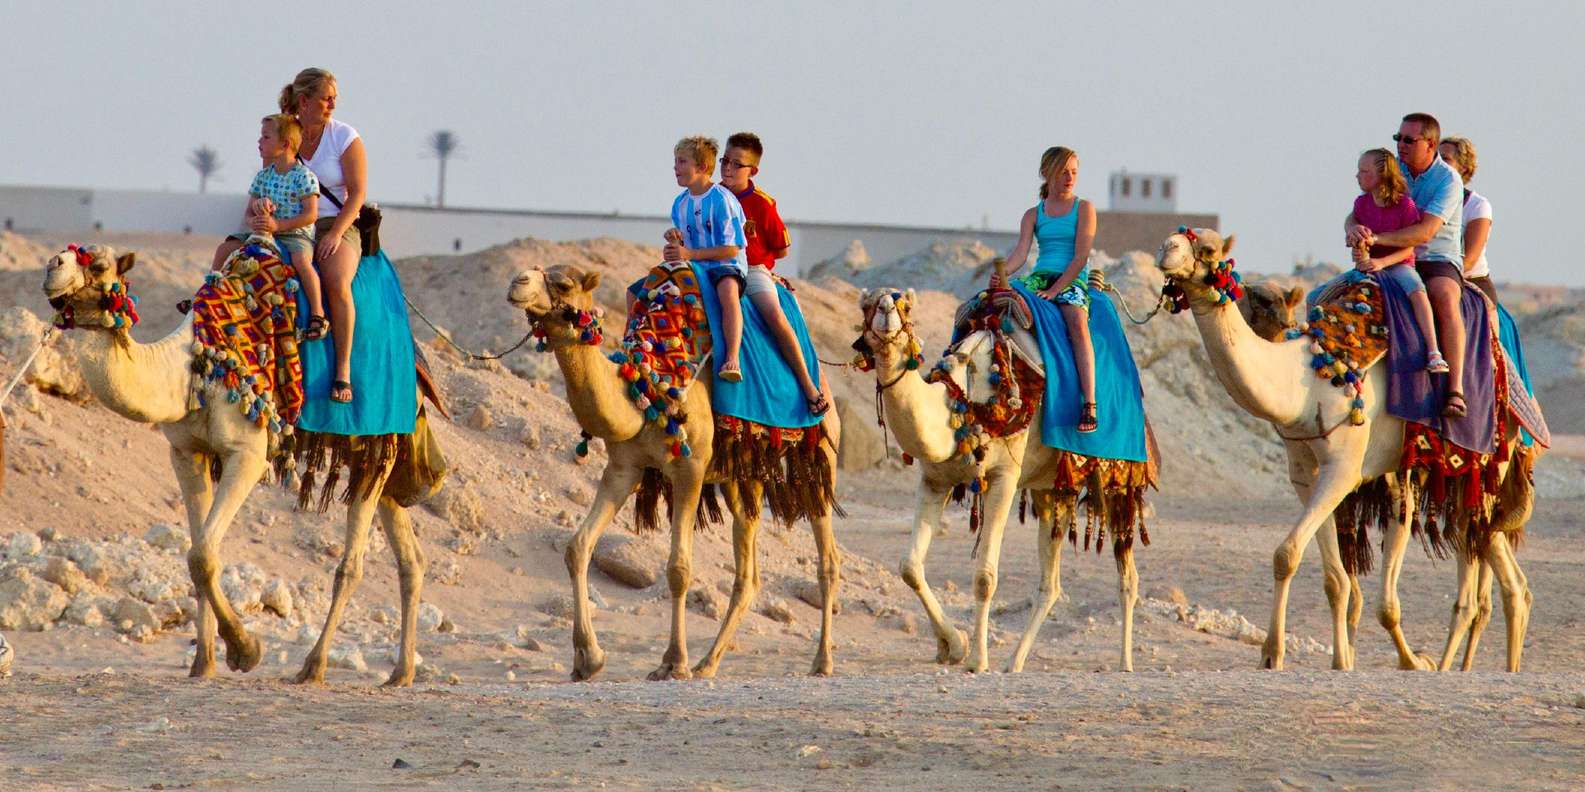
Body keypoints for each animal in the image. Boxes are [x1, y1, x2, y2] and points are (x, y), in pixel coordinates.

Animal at [42, 243, 432, 687]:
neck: (187, 368)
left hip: (379, 434)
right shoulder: (186, 452)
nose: (53, 266)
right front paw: (204, 662)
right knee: (409, 553)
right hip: (375, 453)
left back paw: (313, 667)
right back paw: (401, 672)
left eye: (99, 264)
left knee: (352, 565)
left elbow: (202, 556)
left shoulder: (247, 452)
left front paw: (246, 650)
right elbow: (198, 556)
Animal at [507, 264, 841, 681]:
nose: (516, 282)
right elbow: (577, 548)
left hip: (819, 454)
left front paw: (672, 662)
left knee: (827, 560)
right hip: (741, 477)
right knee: (748, 572)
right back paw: (708, 663)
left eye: (564, 284)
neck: (646, 386)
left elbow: (679, 568)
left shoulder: (690, 468)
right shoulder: (624, 467)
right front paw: (588, 658)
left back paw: (821, 661)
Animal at [855, 286, 1151, 672]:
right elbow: (910, 568)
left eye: (904, 303)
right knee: (1051, 582)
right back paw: (1016, 661)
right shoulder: (935, 479)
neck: (961, 399)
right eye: (866, 305)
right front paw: (954, 645)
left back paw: (1125, 662)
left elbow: (984, 576)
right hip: (1051, 490)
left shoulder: (1004, 476)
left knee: (1127, 574)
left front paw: (977, 660)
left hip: (1119, 474)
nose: (886, 312)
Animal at [1155, 228, 1535, 672]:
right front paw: (1294, 656)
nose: (1167, 250)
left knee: (1486, 562)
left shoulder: (1345, 468)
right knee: (1498, 568)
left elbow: (1315, 564)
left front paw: (1412, 662)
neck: (1309, 380)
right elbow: (1318, 571)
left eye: (1210, 248)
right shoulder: (1307, 473)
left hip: (1489, 459)